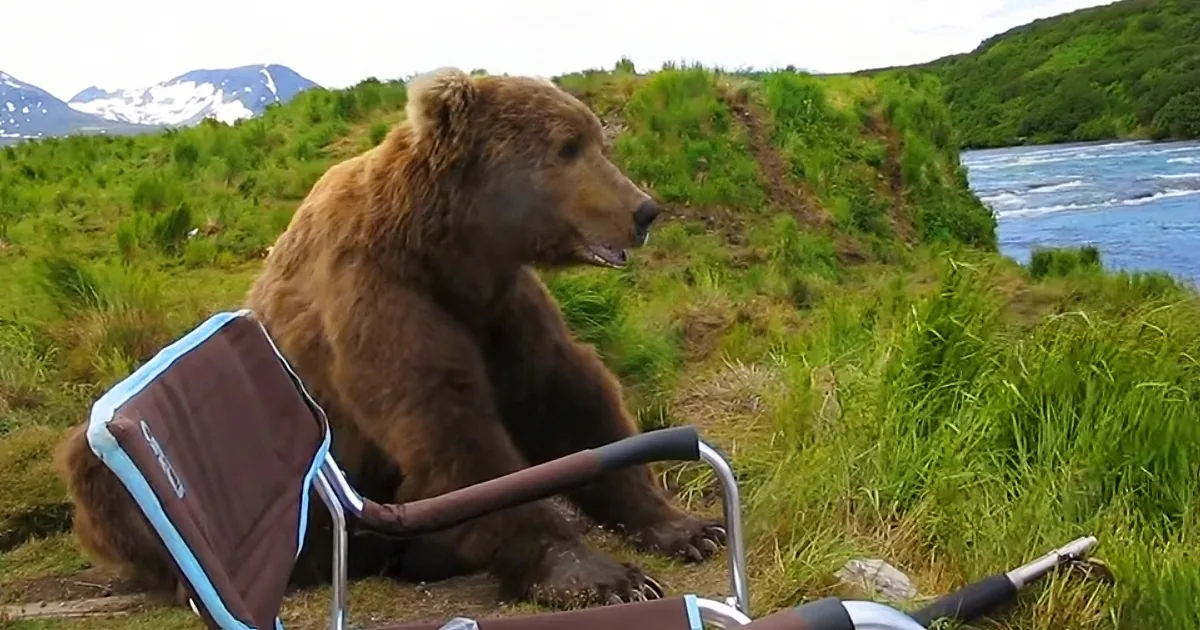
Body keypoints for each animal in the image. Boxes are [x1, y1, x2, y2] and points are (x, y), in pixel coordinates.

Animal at [55, 66, 725, 610]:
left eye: (595, 139)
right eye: (568, 147)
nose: (643, 210)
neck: (447, 249)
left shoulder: (499, 307)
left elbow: (566, 398)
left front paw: (688, 527)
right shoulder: (379, 295)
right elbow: (449, 427)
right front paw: (598, 574)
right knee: (96, 470)